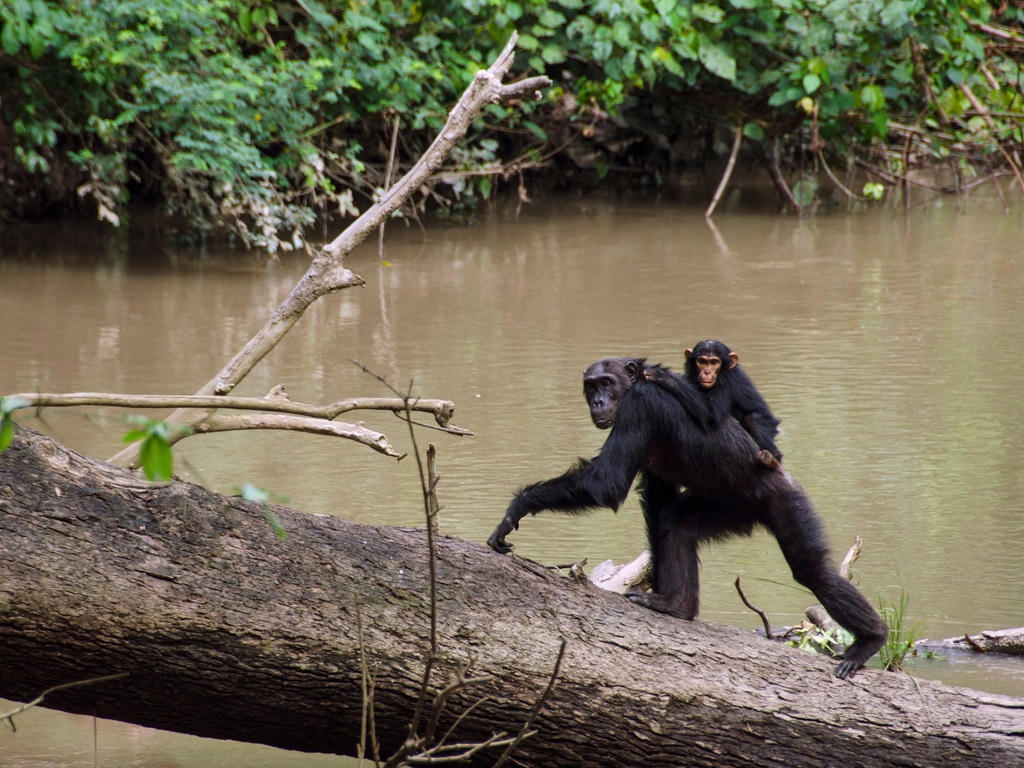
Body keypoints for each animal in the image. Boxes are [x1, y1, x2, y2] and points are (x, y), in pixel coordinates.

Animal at [487, 360, 888, 679]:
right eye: (590, 386)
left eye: (606, 383)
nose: (598, 400)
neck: (632, 387)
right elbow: (657, 501)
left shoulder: (639, 405)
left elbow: (606, 482)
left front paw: (518, 506)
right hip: (729, 510)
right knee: (676, 522)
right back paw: (678, 606)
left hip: (786, 501)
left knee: (811, 570)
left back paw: (870, 640)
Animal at [647, 342, 782, 468]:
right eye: (702, 361)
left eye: (714, 362)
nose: (707, 372)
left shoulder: (727, 381)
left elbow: (710, 413)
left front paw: (661, 375)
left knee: (752, 419)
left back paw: (770, 457)